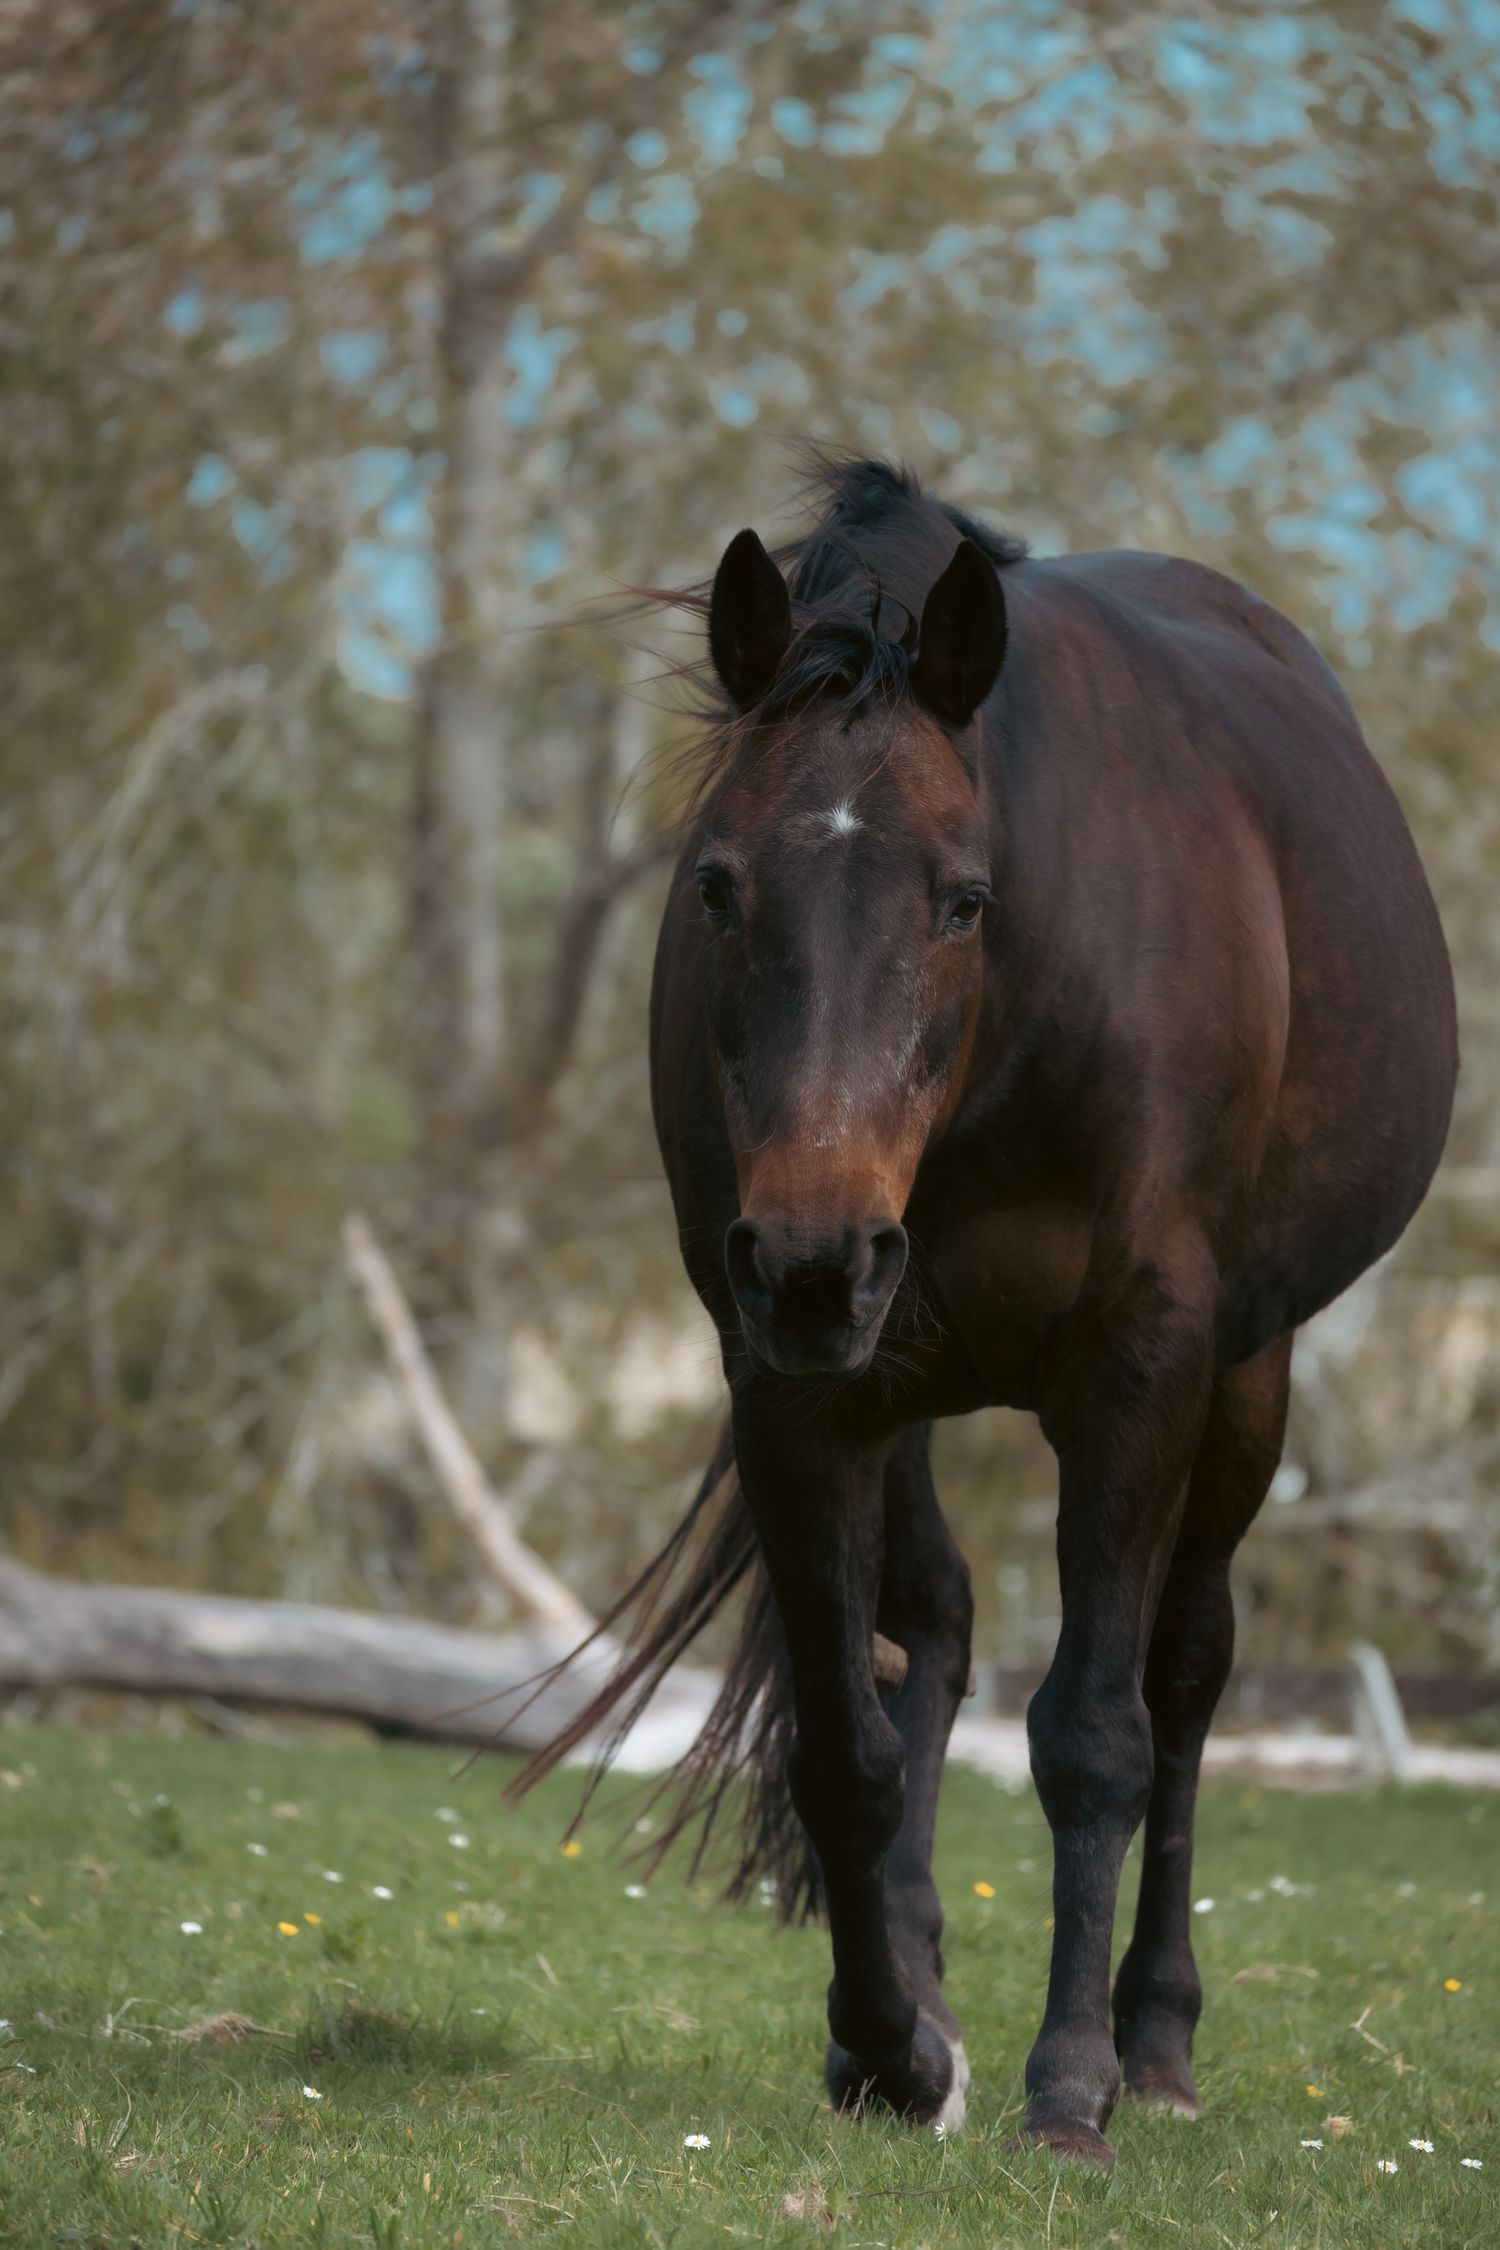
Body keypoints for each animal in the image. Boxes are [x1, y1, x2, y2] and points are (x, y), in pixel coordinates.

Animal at [513, 454, 1456, 2163]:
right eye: (718, 887)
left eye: (960, 899)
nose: (812, 1255)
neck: (1018, 1030)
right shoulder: (797, 1387)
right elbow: (848, 1742)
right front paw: (896, 2043)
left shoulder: (1139, 1366)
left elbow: (1094, 1732)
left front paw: (1068, 2085)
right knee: (935, 1635)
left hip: (1245, 1379)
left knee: (1186, 1673)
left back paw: (1156, 2040)